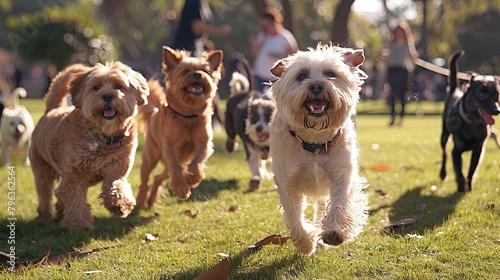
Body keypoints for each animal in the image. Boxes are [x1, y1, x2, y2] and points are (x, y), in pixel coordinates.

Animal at [270, 43, 368, 256]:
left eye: (330, 73)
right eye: (301, 76)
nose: (316, 85)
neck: (315, 140)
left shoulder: (341, 174)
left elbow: (339, 202)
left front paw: (334, 231)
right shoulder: (287, 182)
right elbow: (294, 215)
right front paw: (306, 243)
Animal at [442, 50, 500, 191]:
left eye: (496, 94)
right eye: (482, 93)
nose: (496, 110)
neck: (473, 124)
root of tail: (454, 90)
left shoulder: (478, 150)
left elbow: (471, 171)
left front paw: (468, 187)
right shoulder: (456, 152)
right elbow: (459, 173)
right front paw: (461, 187)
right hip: (444, 135)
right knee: (444, 153)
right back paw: (443, 174)